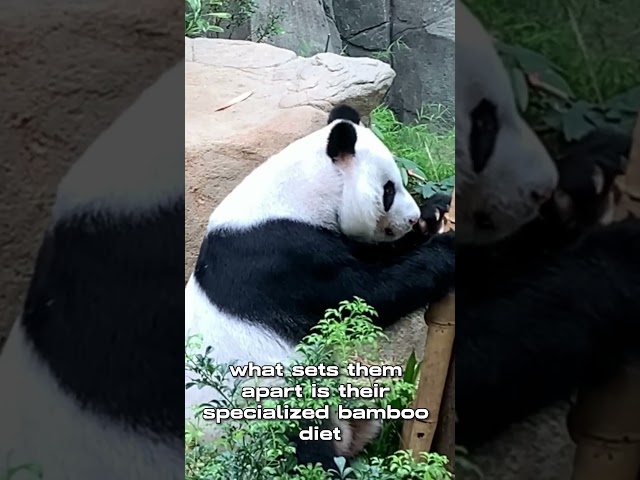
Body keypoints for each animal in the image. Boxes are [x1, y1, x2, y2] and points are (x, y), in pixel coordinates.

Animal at [184, 104, 456, 468]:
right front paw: (448, 247)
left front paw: (435, 211)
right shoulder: (284, 257)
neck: (298, 192)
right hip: (267, 410)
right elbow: (366, 297)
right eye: (387, 190)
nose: (411, 218)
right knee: (304, 447)